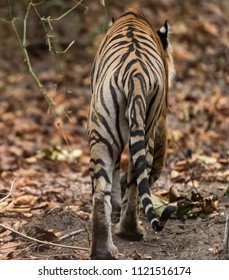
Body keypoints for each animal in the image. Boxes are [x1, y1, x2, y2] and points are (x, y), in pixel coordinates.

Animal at [87, 7, 175, 260]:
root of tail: (135, 74)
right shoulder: (160, 119)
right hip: (145, 132)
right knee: (136, 179)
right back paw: (130, 231)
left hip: (102, 134)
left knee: (101, 193)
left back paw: (104, 251)